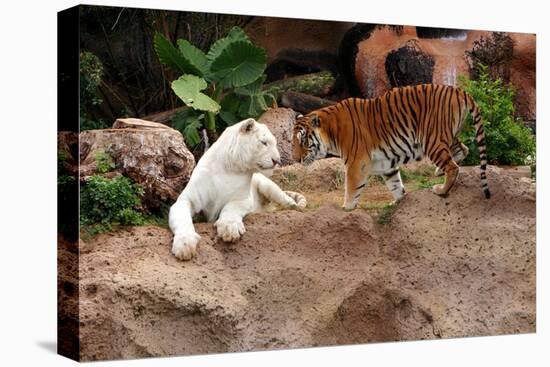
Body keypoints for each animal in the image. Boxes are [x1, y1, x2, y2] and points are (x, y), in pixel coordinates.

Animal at [169, 118, 306, 262]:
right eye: (264, 143)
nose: (277, 160)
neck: (230, 169)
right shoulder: (186, 200)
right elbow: (182, 218)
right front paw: (185, 245)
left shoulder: (244, 199)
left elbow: (230, 208)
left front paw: (229, 228)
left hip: (268, 186)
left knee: (287, 201)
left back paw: (294, 207)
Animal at [294, 83, 492, 210]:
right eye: (293, 141)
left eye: (303, 141)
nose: (295, 159)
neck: (331, 131)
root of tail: (458, 90)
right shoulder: (386, 164)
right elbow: (395, 184)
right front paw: (399, 201)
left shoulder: (357, 162)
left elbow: (351, 187)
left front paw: (346, 207)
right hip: (448, 136)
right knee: (463, 150)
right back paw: (438, 171)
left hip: (432, 139)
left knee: (453, 166)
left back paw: (441, 190)